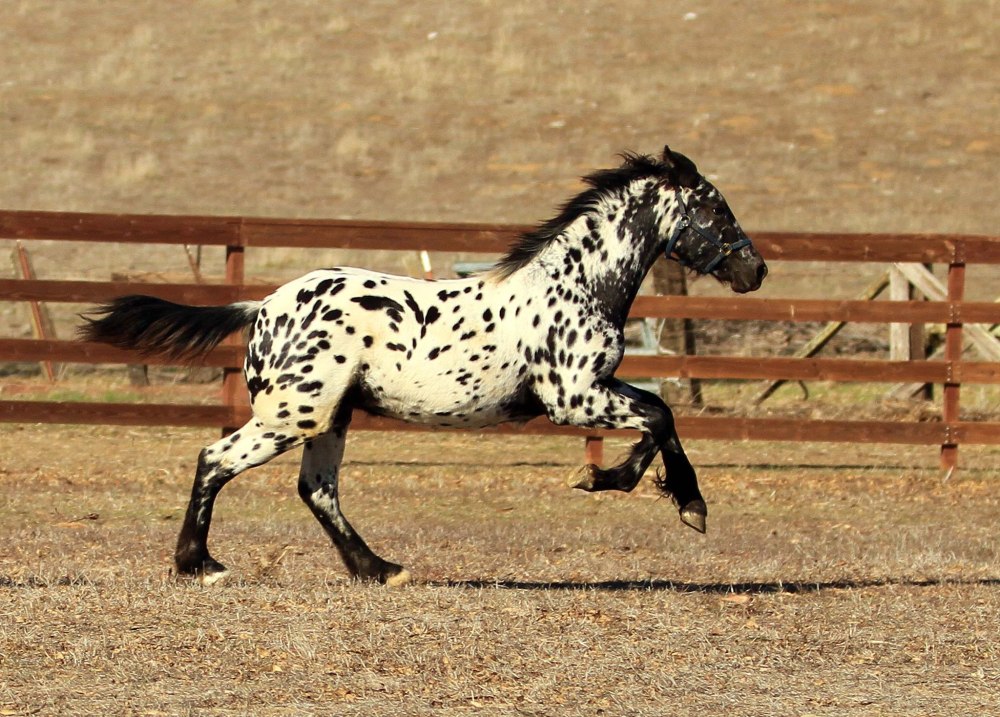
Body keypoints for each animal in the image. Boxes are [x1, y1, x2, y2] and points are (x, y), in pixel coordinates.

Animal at [80, 147, 764, 588]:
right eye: (716, 209)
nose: (754, 270)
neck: (577, 283)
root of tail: (264, 306)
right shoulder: (574, 398)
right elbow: (660, 416)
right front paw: (650, 494)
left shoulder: (595, 388)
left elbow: (660, 414)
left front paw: (641, 489)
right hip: (292, 415)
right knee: (215, 460)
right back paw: (199, 565)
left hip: (328, 418)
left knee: (316, 490)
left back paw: (379, 570)